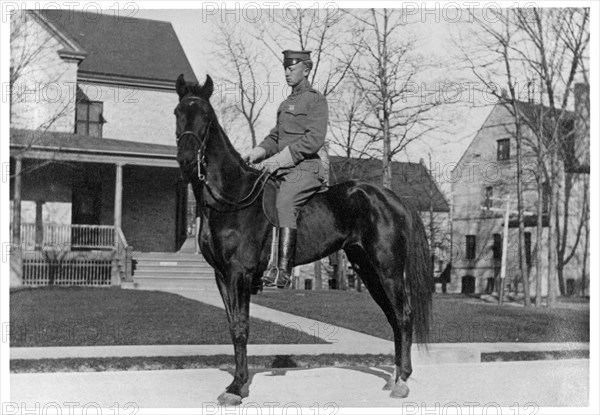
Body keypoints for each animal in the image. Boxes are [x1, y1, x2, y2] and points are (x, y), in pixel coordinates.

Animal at [173, 75, 432, 406]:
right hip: (368, 270)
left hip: (388, 270)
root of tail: (392, 197)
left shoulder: (238, 274)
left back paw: (402, 381)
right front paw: (238, 383)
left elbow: (242, 327)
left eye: (206, 116)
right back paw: (396, 377)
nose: (186, 162)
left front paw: (237, 387)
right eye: (178, 113)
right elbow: (233, 325)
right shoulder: (221, 276)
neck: (231, 198)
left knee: (404, 315)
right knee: (393, 317)